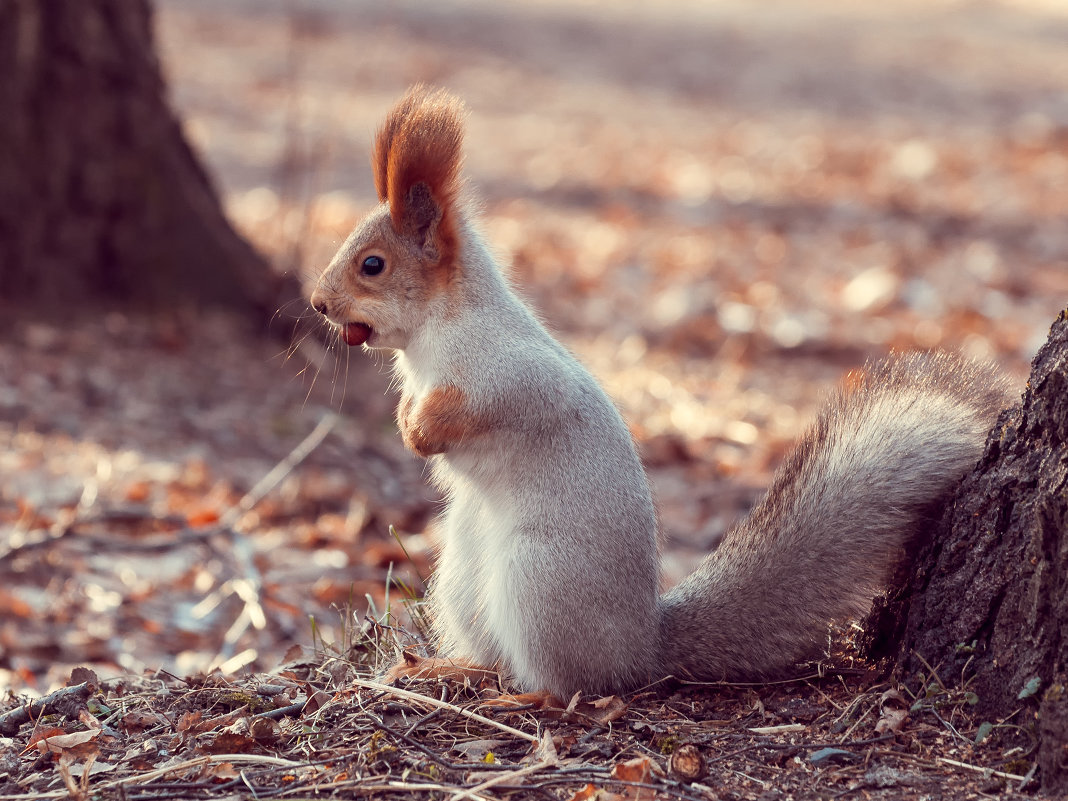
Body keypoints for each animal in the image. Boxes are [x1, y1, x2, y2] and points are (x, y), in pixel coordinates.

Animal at [309, 87, 1008, 700]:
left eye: (372, 265)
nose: (316, 303)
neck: (429, 338)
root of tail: (644, 647)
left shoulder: (511, 369)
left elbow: (496, 403)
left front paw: (424, 429)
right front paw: (407, 420)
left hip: (540, 578)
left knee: (574, 685)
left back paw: (525, 699)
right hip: (461, 579)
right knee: (494, 655)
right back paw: (447, 669)